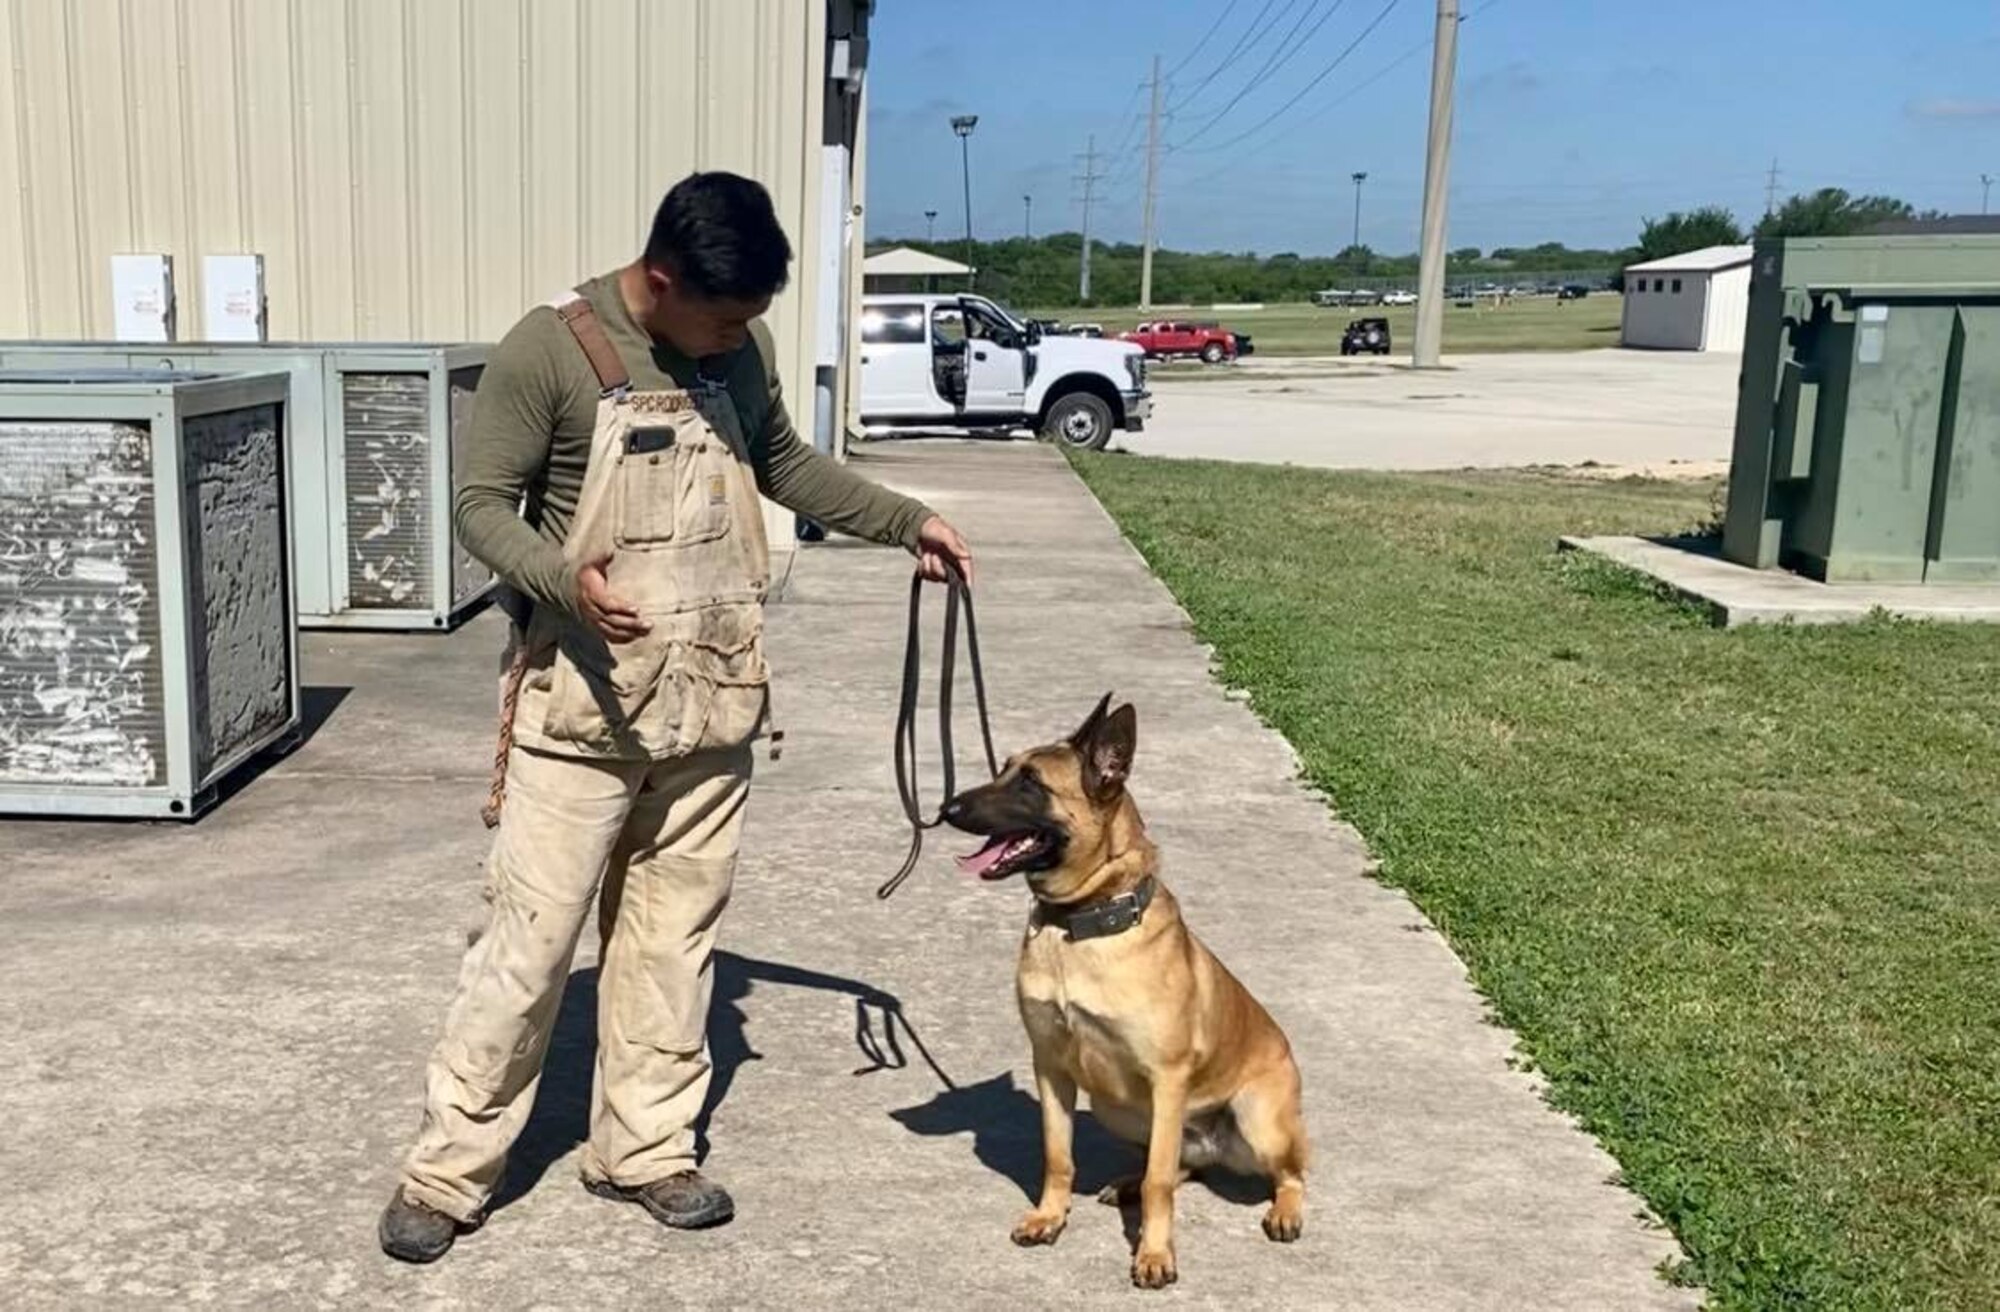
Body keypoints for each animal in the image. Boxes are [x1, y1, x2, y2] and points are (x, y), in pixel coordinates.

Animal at [940, 696, 1312, 1288]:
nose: (945, 806)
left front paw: (1154, 1254)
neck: (1080, 925)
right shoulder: (1052, 1068)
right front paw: (1049, 1217)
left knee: (1289, 1173)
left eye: (1030, 784)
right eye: (1003, 769)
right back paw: (1128, 1183)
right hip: (1116, 1105)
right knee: (1182, 1163)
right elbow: (1059, 1157)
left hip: (1257, 1120)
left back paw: (1285, 1211)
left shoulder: (1167, 1079)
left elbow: (1161, 1182)